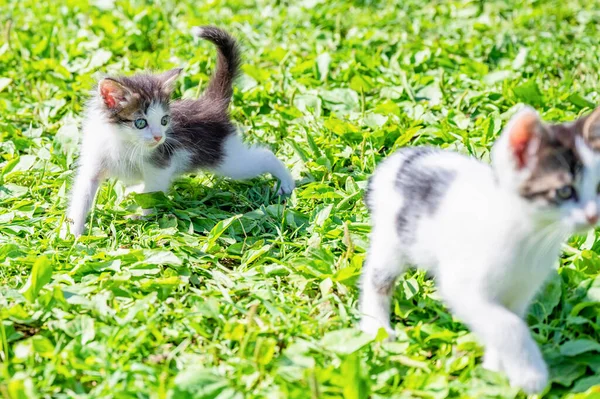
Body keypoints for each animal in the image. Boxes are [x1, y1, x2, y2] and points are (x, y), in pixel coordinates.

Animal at [65, 27, 296, 238]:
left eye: (164, 120)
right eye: (140, 123)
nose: (159, 137)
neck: (124, 142)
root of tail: (211, 104)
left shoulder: (160, 165)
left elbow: (153, 192)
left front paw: (141, 216)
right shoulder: (94, 161)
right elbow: (82, 194)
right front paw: (72, 233)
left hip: (227, 160)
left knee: (263, 156)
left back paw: (286, 182)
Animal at [358, 106, 600, 394]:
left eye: (598, 189)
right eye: (564, 191)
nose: (593, 216)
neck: (531, 237)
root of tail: (401, 159)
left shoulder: (520, 293)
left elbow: (504, 323)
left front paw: (495, 371)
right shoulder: (463, 287)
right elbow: (509, 325)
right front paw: (531, 375)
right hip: (393, 238)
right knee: (377, 277)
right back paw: (376, 325)